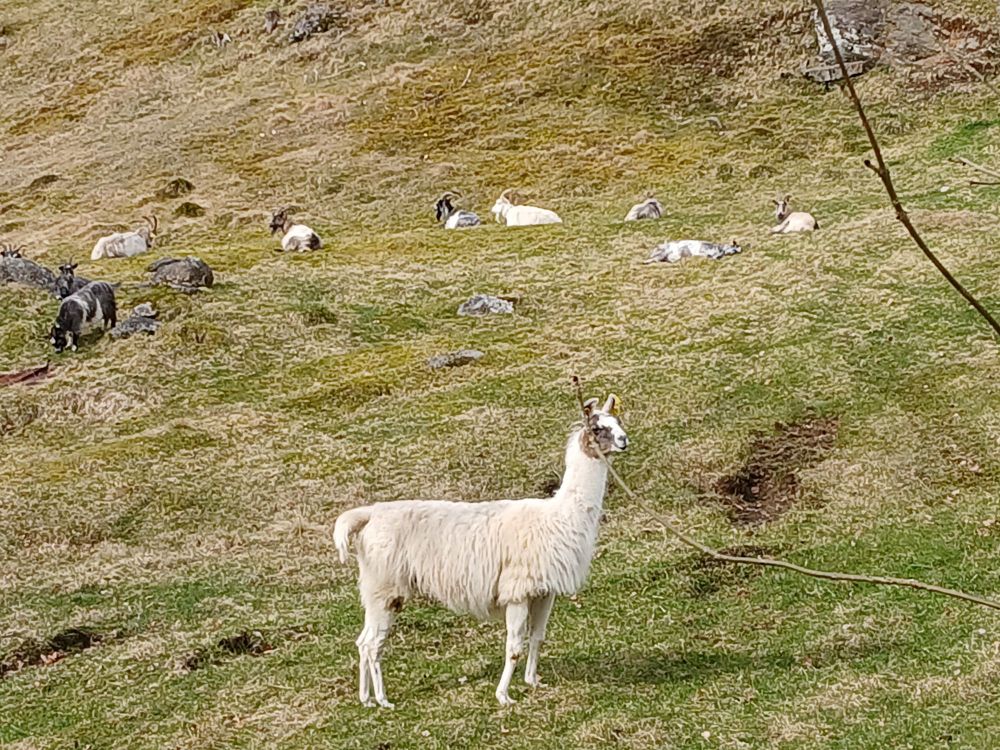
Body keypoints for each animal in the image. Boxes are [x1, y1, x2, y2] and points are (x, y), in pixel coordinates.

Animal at [334, 394, 628, 707]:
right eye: (598, 428)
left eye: (619, 421)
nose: (624, 440)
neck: (556, 517)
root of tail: (369, 515)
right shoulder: (517, 589)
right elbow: (514, 646)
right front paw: (504, 695)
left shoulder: (543, 590)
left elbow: (538, 637)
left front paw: (533, 681)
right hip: (385, 586)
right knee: (372, 644)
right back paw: (383, 699)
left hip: (379, 586)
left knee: (362, 641)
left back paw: (366, 698)